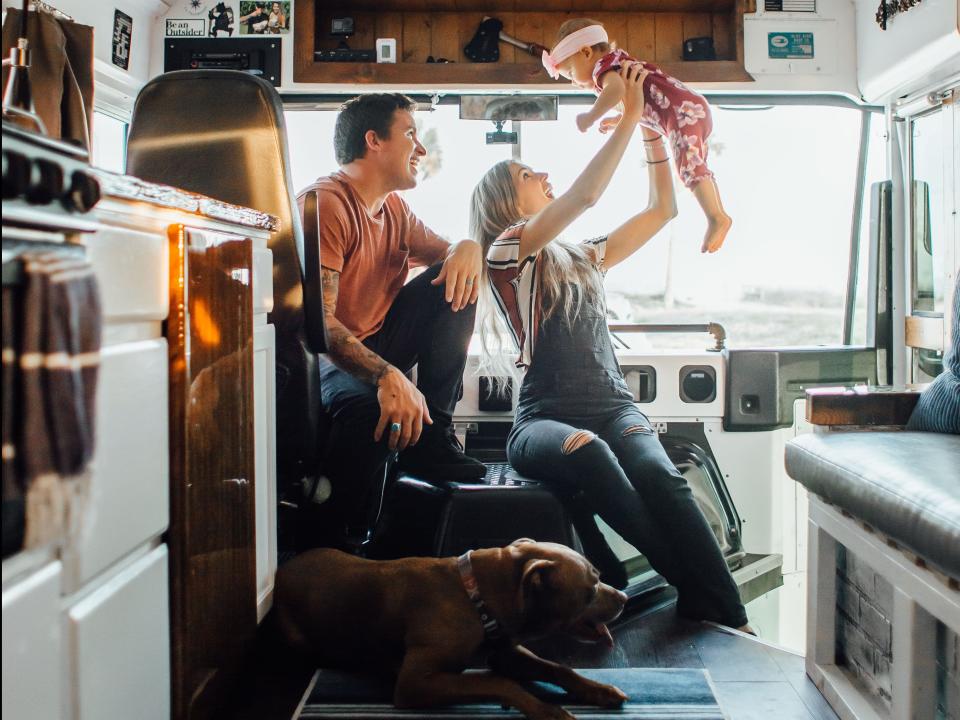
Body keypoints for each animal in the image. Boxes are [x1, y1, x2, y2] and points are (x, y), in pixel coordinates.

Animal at [270, 536, 632, 716]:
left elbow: (559, 668)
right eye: (590, 590)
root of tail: (283, 568)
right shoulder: (415, 682)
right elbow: (498, 681)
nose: (625, 597)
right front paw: (547, 710)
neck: (475, 596)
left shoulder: (507, 652)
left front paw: (598, 690)